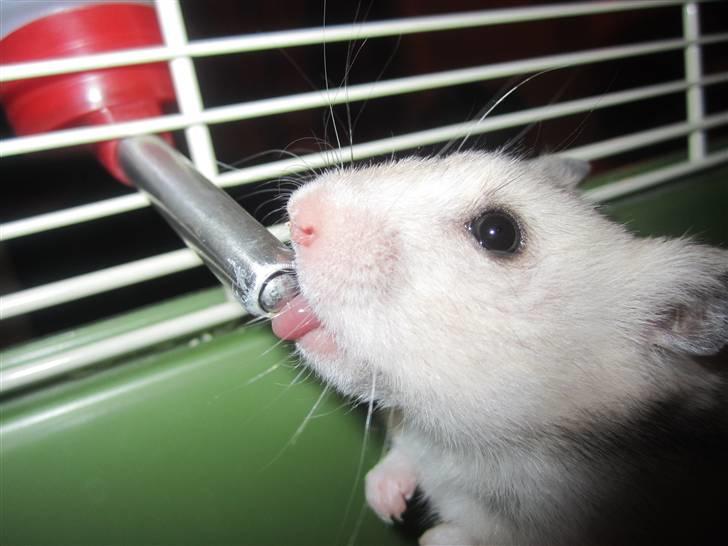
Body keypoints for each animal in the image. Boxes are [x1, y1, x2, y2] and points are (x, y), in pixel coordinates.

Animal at [271, 152, 728, 546]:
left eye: (498, 231)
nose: (297, 212)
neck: (465, 442)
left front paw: (430, 536)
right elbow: (399, 456)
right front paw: (387, 504)